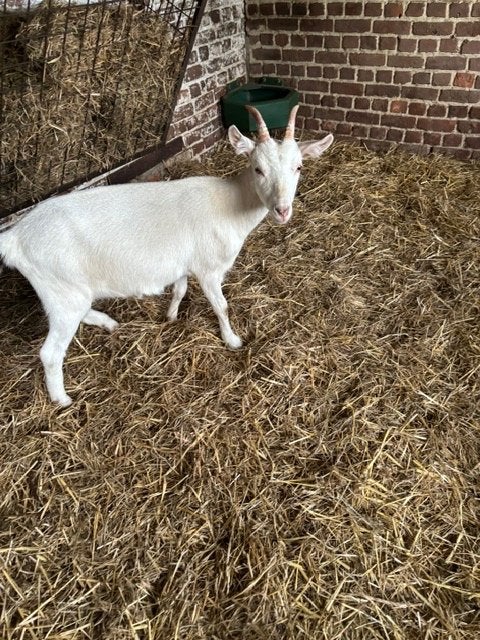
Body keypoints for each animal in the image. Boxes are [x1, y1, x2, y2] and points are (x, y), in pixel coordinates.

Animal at [0, 106, 333, 406]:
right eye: (257, 168)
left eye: (299, 167)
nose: (282, 210)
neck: (232, 202)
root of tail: (15, 237)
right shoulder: (208, 268)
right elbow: (221, 306)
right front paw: (233, 340)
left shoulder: (183, 263)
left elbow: (180, 289)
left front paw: (171, 316)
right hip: (61, 290)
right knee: (50, 352)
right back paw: (62, 399)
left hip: (69, 291)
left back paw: (109, 323)